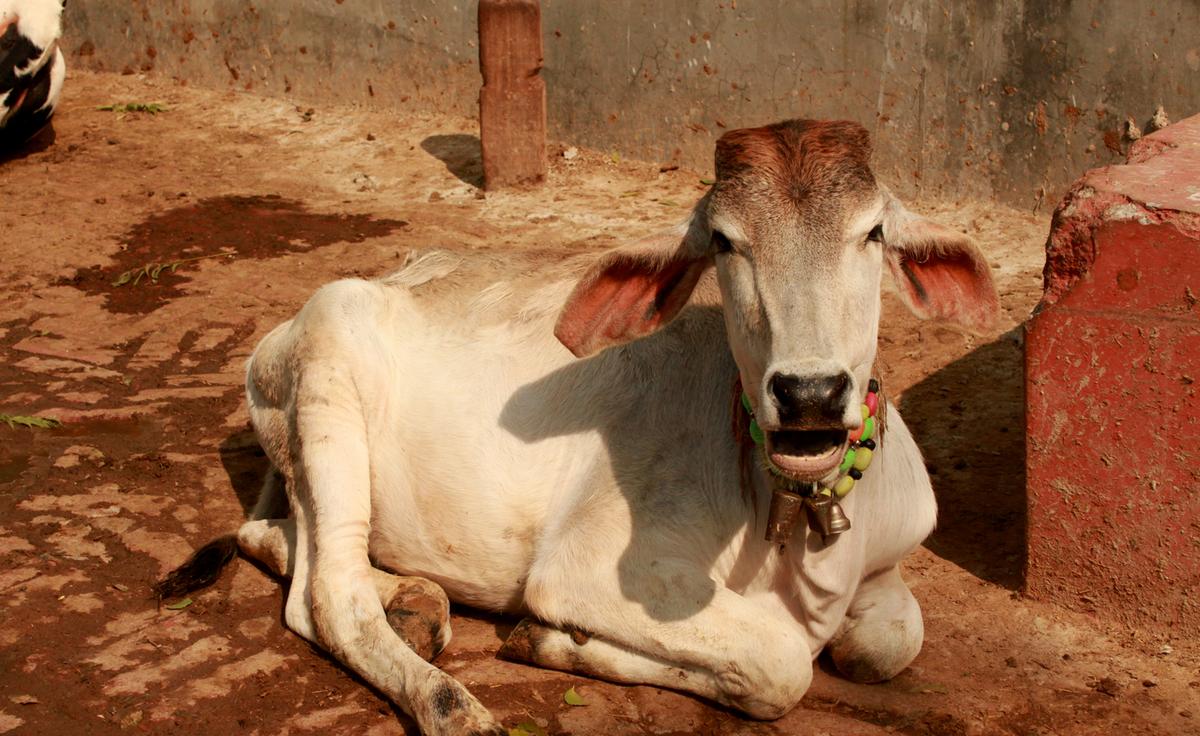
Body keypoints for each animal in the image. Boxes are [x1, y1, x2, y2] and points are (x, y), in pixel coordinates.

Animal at [160, 119, 998, 735]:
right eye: (724, 241)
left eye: (874, 233)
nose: (810, 393)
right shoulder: (587, 569)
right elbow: (781, 663)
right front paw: (551, 640)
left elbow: (889, 645)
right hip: (327, 388)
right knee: (326, 596)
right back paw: (447, 702)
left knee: (277, 542)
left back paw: (417, 601)